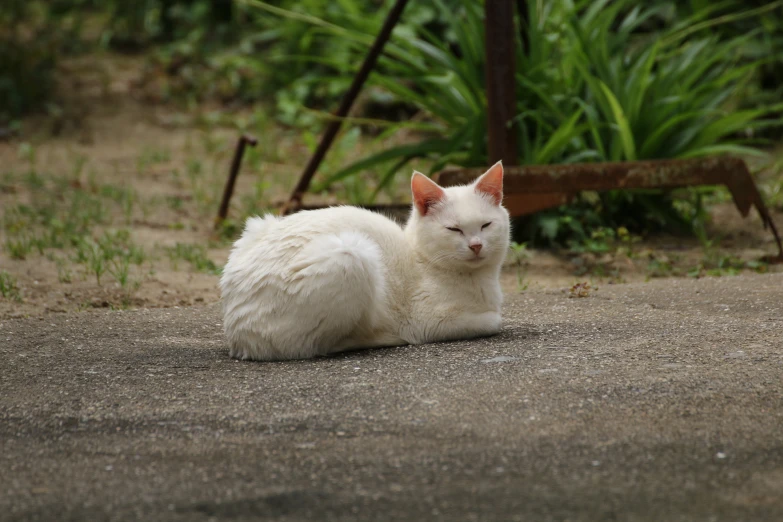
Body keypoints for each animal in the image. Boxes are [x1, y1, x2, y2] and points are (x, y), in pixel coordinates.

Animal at [220, 160, 512, 360]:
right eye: (454, 229)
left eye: (486, 225)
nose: (476, 245)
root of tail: (238, 337)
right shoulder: (428, 321)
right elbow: (494, 320)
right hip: (351, 254)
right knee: (309, 346)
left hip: (259, 226)